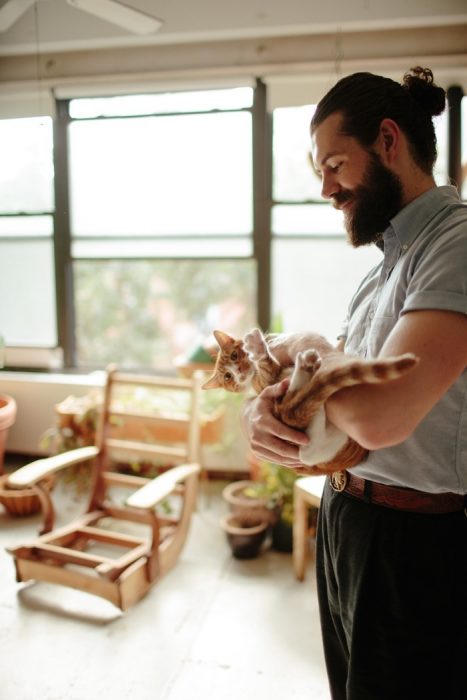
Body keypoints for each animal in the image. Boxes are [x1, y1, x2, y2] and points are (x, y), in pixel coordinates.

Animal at [203, 330, 418, 476]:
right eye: (228, 377)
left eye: (234, 356)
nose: (238, 370)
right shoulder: (267, 380)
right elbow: (268, 365)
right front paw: (258, 348)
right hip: (316, 446)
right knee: (308, 445)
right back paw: (304, 369)